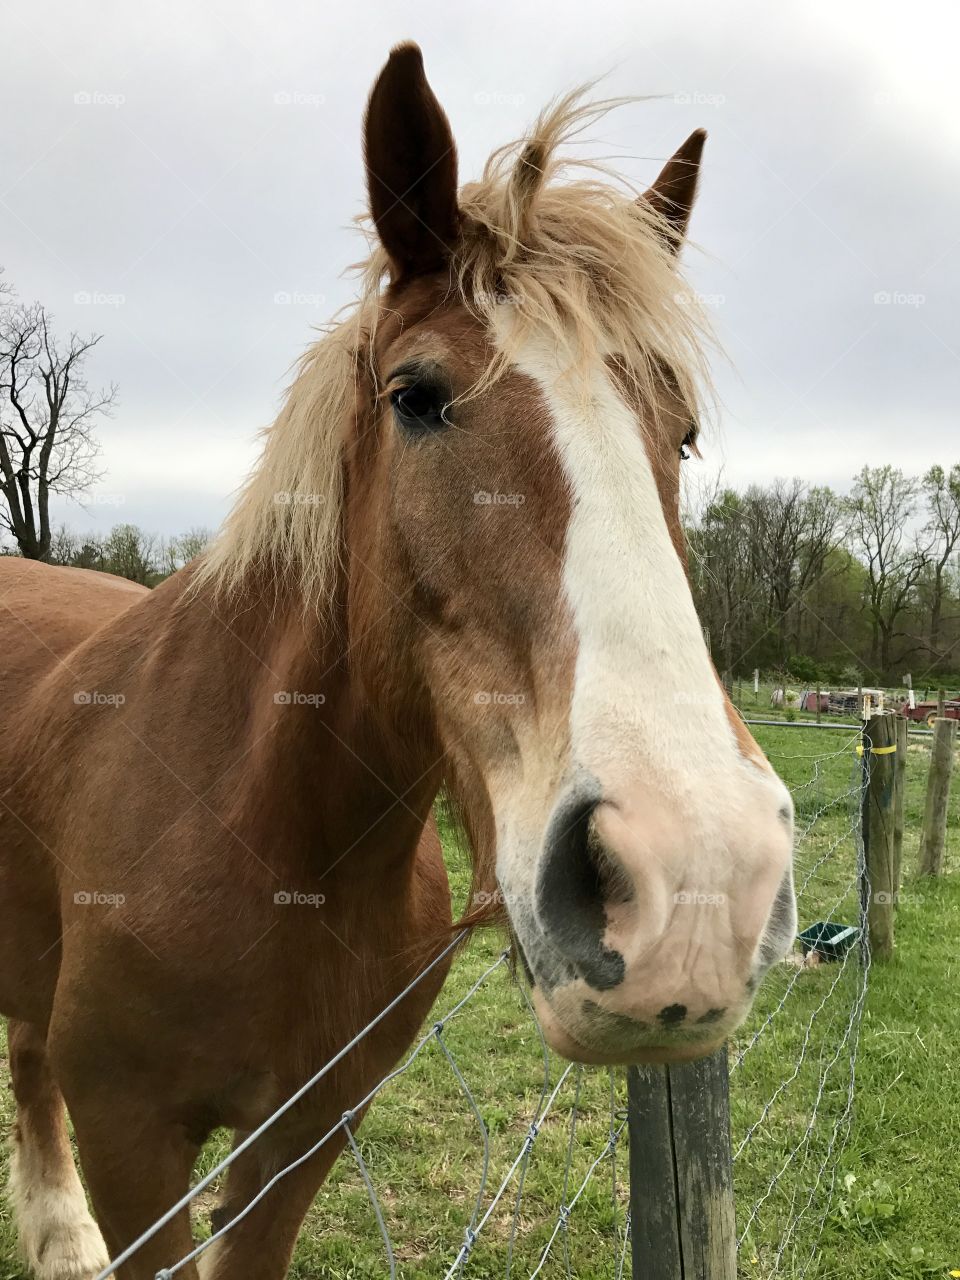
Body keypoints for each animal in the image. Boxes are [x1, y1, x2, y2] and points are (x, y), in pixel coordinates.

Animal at [0, 42, 798, 1280]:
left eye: (684, 431)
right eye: (415, 397)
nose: (697, 870)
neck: (266, 830)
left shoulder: (308, 1132)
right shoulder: (133, 1139)